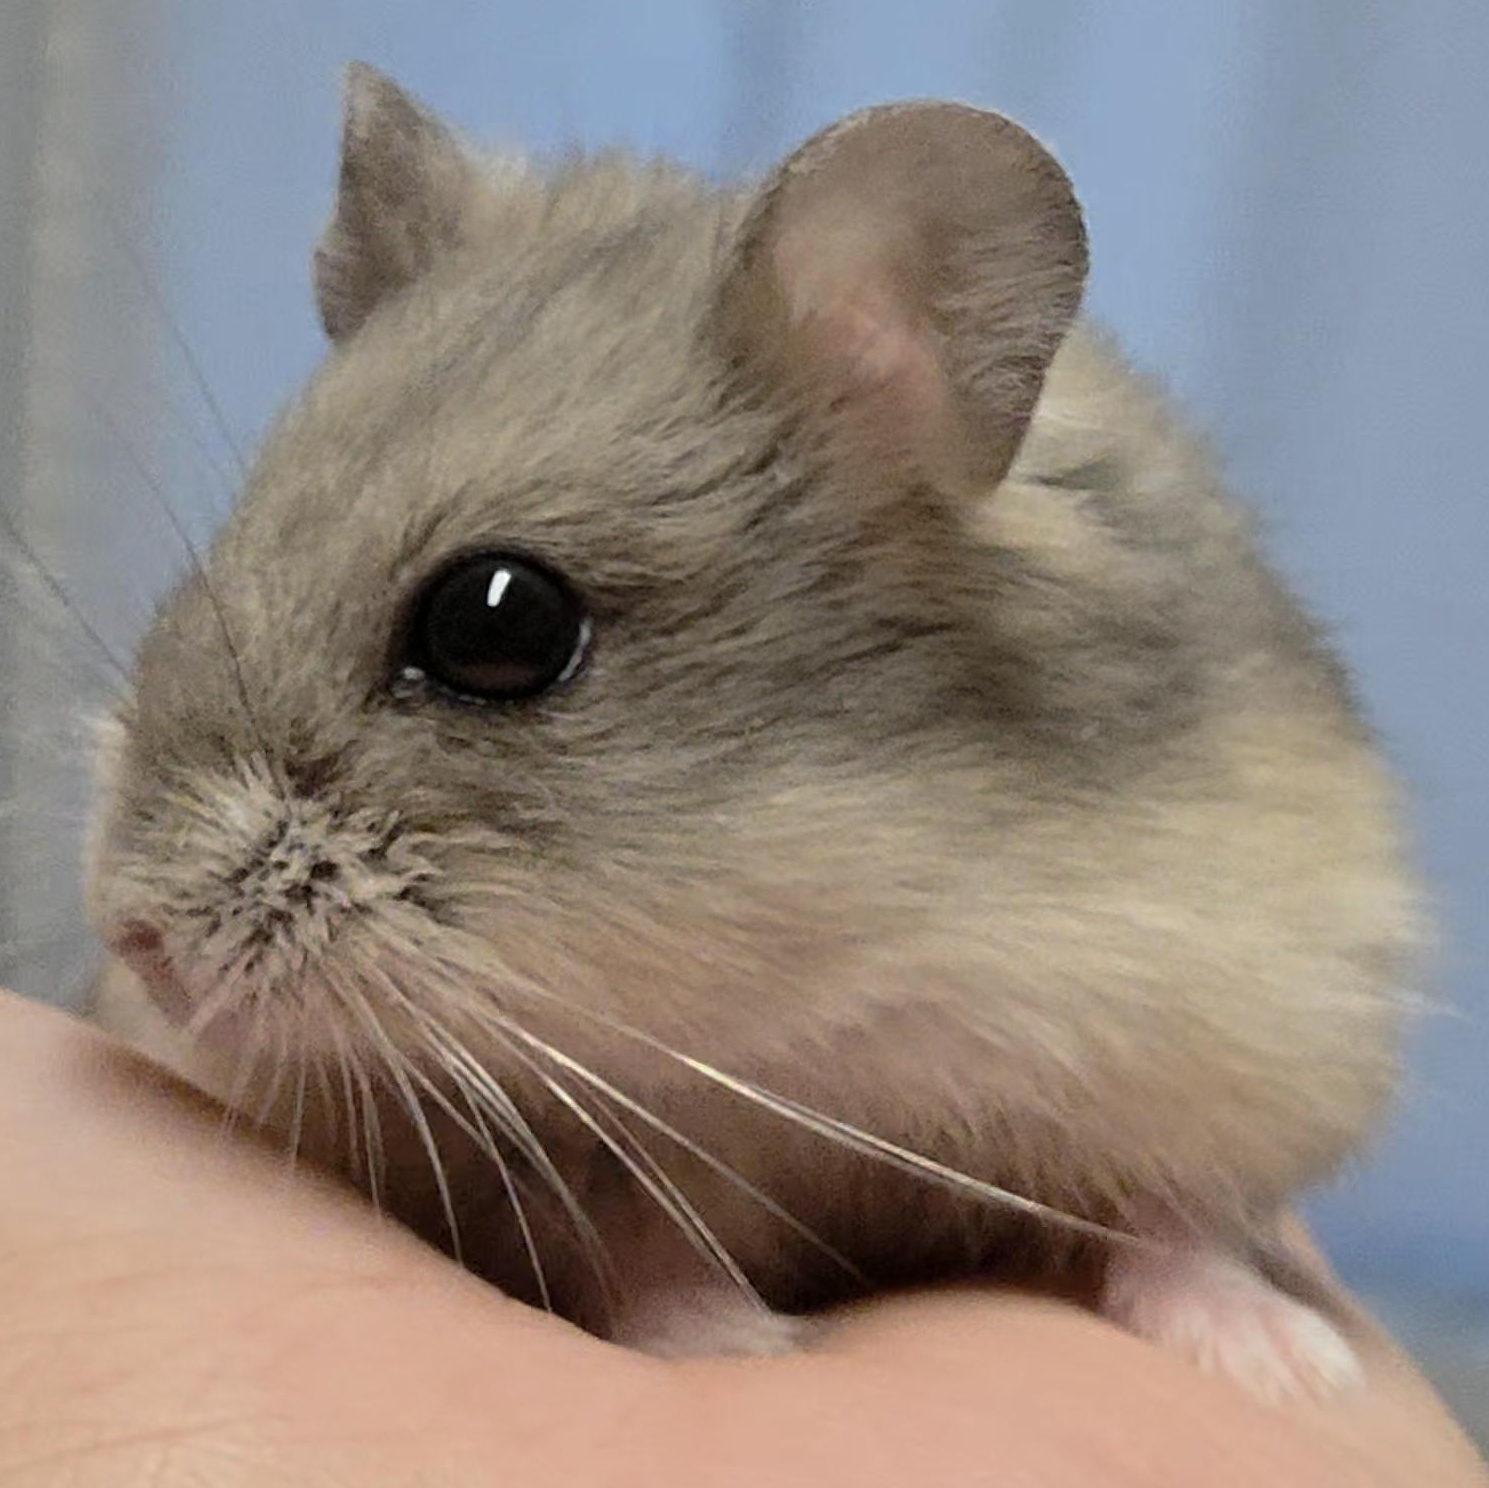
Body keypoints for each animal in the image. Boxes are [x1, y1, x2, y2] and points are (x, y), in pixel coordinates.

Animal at [85, 63, 1423, 1401]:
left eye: (497, 623)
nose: (137, 944)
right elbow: (626, 1236)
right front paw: (737, 1341)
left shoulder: (1245, 1031)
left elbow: (1181, 1218)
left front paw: (1287, 1368)